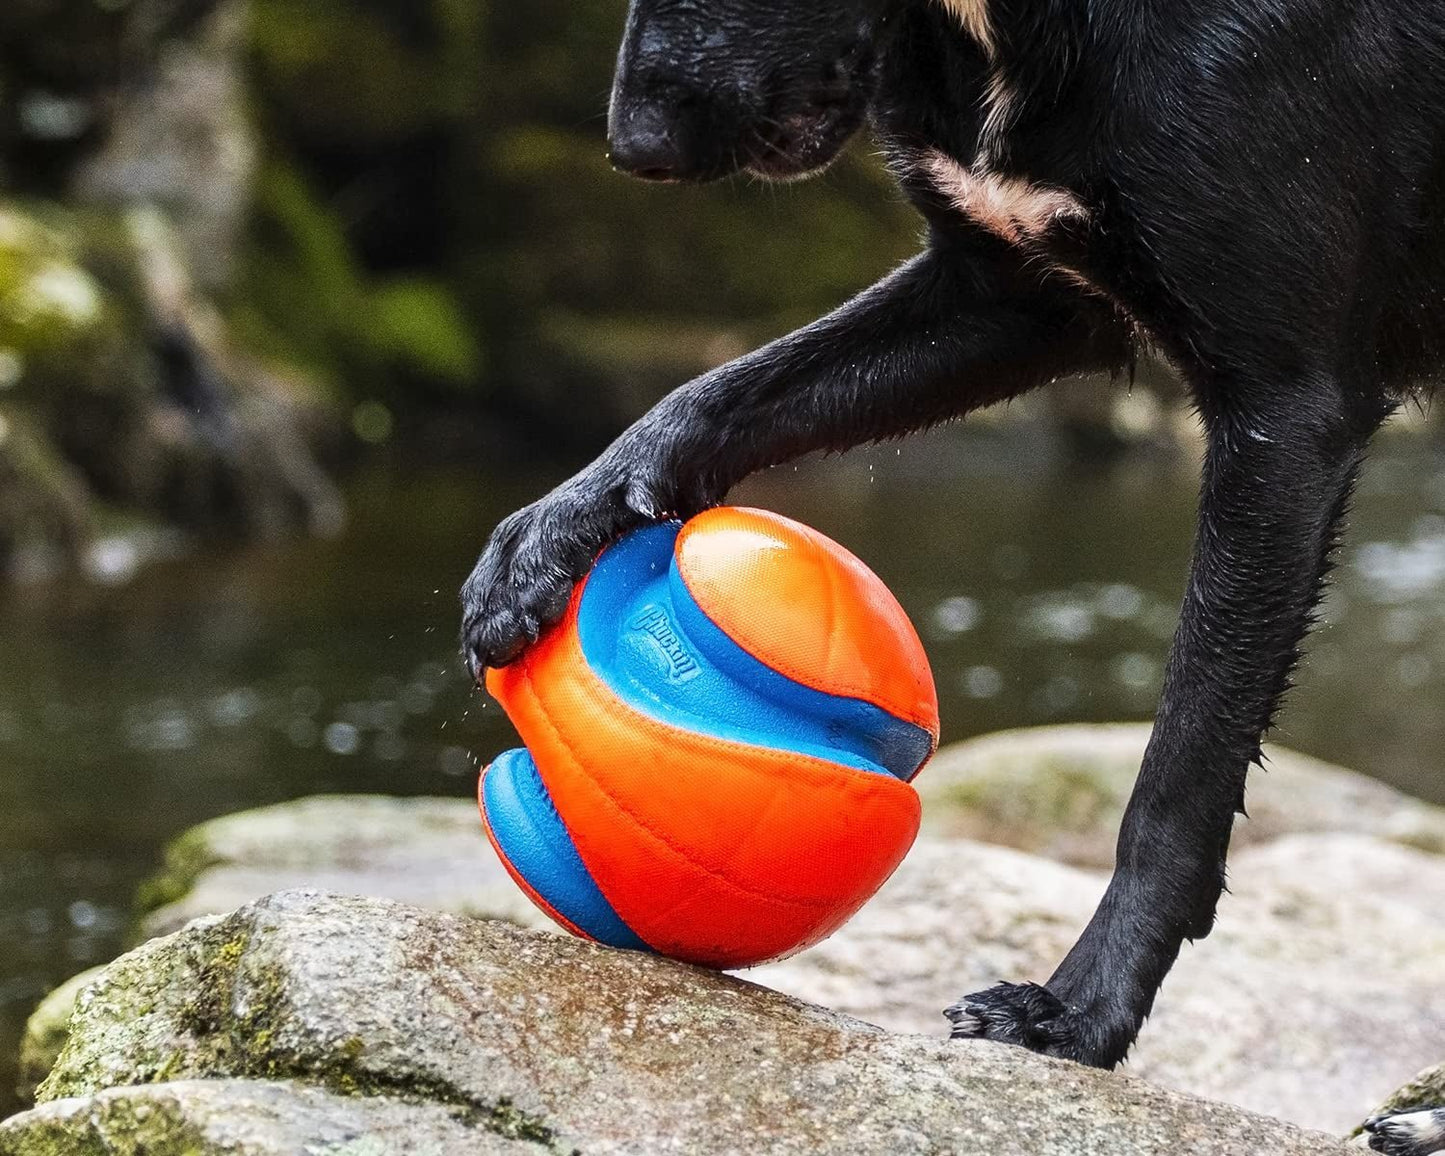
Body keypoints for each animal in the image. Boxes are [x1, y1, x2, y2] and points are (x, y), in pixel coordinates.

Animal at [462, 0, 1445, 1138]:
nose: (635, 149)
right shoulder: (1008, 298)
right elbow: (719, 391)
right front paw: (550, 533)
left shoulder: (1283, 411)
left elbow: (1180, 768)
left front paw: (1078, 1014)